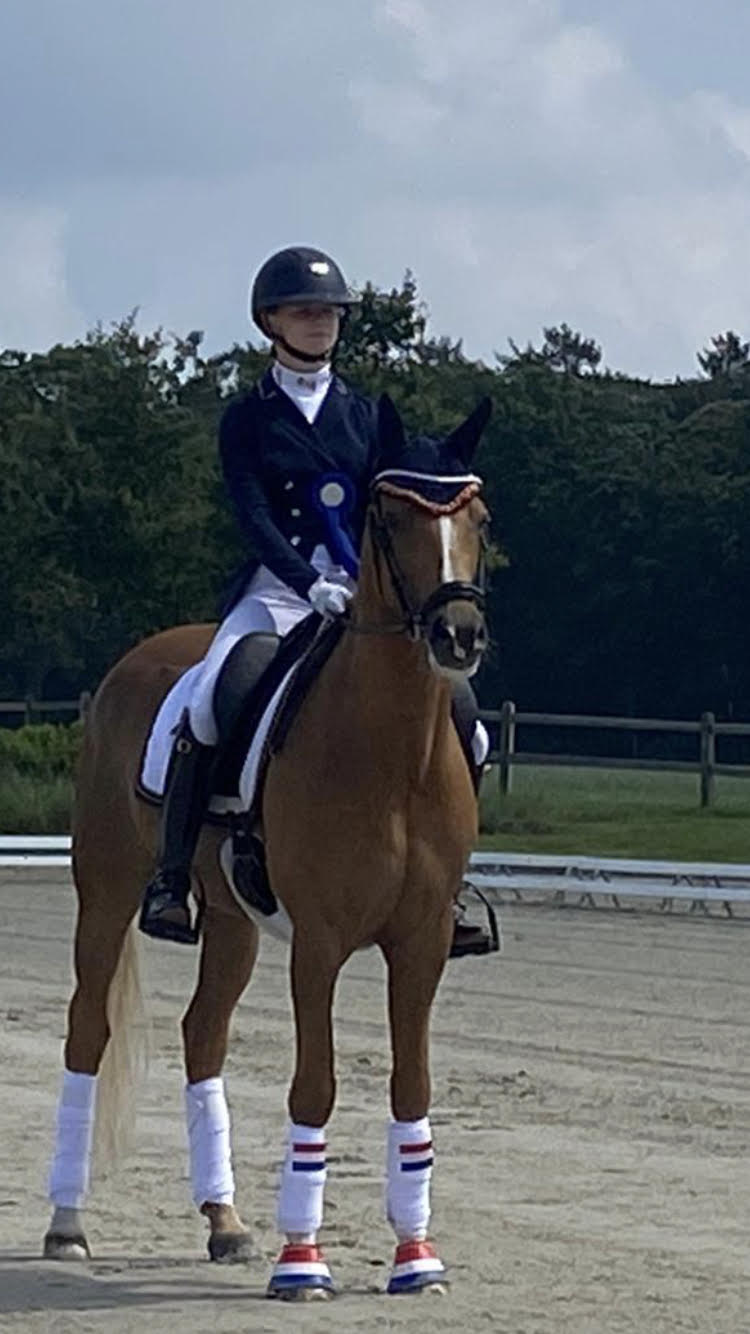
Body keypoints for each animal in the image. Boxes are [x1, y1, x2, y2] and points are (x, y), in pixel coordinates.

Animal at [43, 389, 493, 1296]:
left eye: (479, 517)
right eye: (391, 518)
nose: (458, 636)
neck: (392, 753)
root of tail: (138, 659)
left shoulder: (423, 939)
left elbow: (412, 1085)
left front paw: (416, 1257)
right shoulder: (318, 942)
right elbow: (314, 1087)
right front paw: (303, 1264)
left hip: (232, 921)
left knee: (202, 1037)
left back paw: (225, 1223)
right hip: (105, 891)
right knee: (86, 1030)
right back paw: (67, 1224)